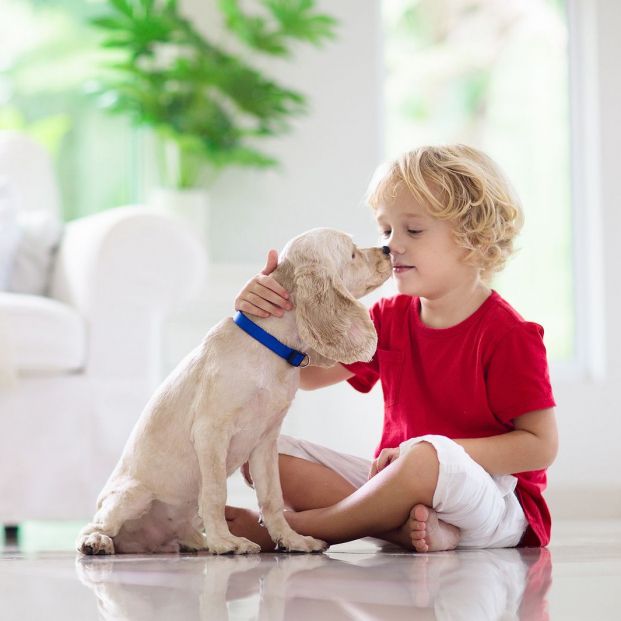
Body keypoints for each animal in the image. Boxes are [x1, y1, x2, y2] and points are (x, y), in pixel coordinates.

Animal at [75, 226, 390, 552]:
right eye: (352, 253)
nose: (387, 250)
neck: (270, 347)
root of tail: (144, 544)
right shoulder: (210, 431)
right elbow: (216, 492)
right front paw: (226, 542)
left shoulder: (266, 441)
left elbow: (272, 496)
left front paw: (291, 539)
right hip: (132, 495)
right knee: (94, 525)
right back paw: (97, 542)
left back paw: (197, 543)